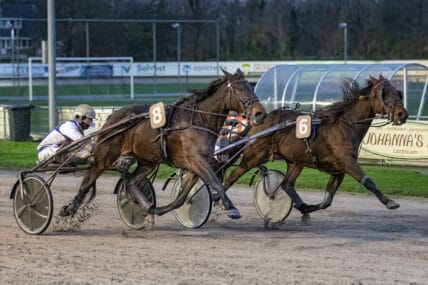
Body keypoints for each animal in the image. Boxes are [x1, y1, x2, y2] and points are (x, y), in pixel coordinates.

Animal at [59, 69, 268, 220]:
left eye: (251, 88)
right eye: (240, 89)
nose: (260, 114)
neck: (199, 120)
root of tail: (112, 118)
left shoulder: (195, 165)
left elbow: (181, 198)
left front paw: (159, 209)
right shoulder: (195, 160)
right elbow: (215, 181)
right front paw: (231, 208)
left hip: (147, 160)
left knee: (131, 182)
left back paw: (146, 206)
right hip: (105, 156)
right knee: (88, 181)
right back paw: (69, 209)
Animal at [224, 74, 408, 219]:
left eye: (397, 92)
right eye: (385, 93)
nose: (402, 114)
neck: (344, 124)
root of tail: (258, 122)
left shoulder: (338, 169)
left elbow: (327, 200)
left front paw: (306, 208)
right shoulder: (348, 162)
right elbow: (367, 181)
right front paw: (390, 202)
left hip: (295, 162)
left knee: (286, 184)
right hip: (253, 156)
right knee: (231, 177)